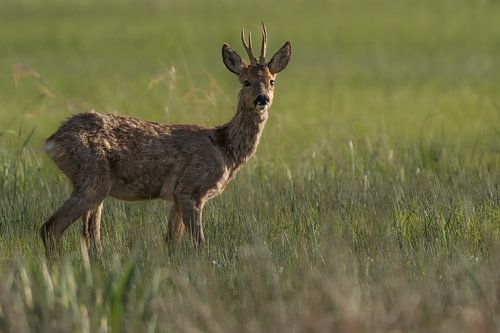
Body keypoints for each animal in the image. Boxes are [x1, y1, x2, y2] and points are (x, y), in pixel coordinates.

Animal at [42, 24, 292, 256]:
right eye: (246, 81)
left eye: (272, 81)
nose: (262, 99)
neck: (224, 148)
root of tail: (53, 140)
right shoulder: (190, 188)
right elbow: (199, 243)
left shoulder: (175, 197)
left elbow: (171, 241)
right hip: (93, 178)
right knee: (51, 226)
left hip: (92, 184)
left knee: (88, 233)